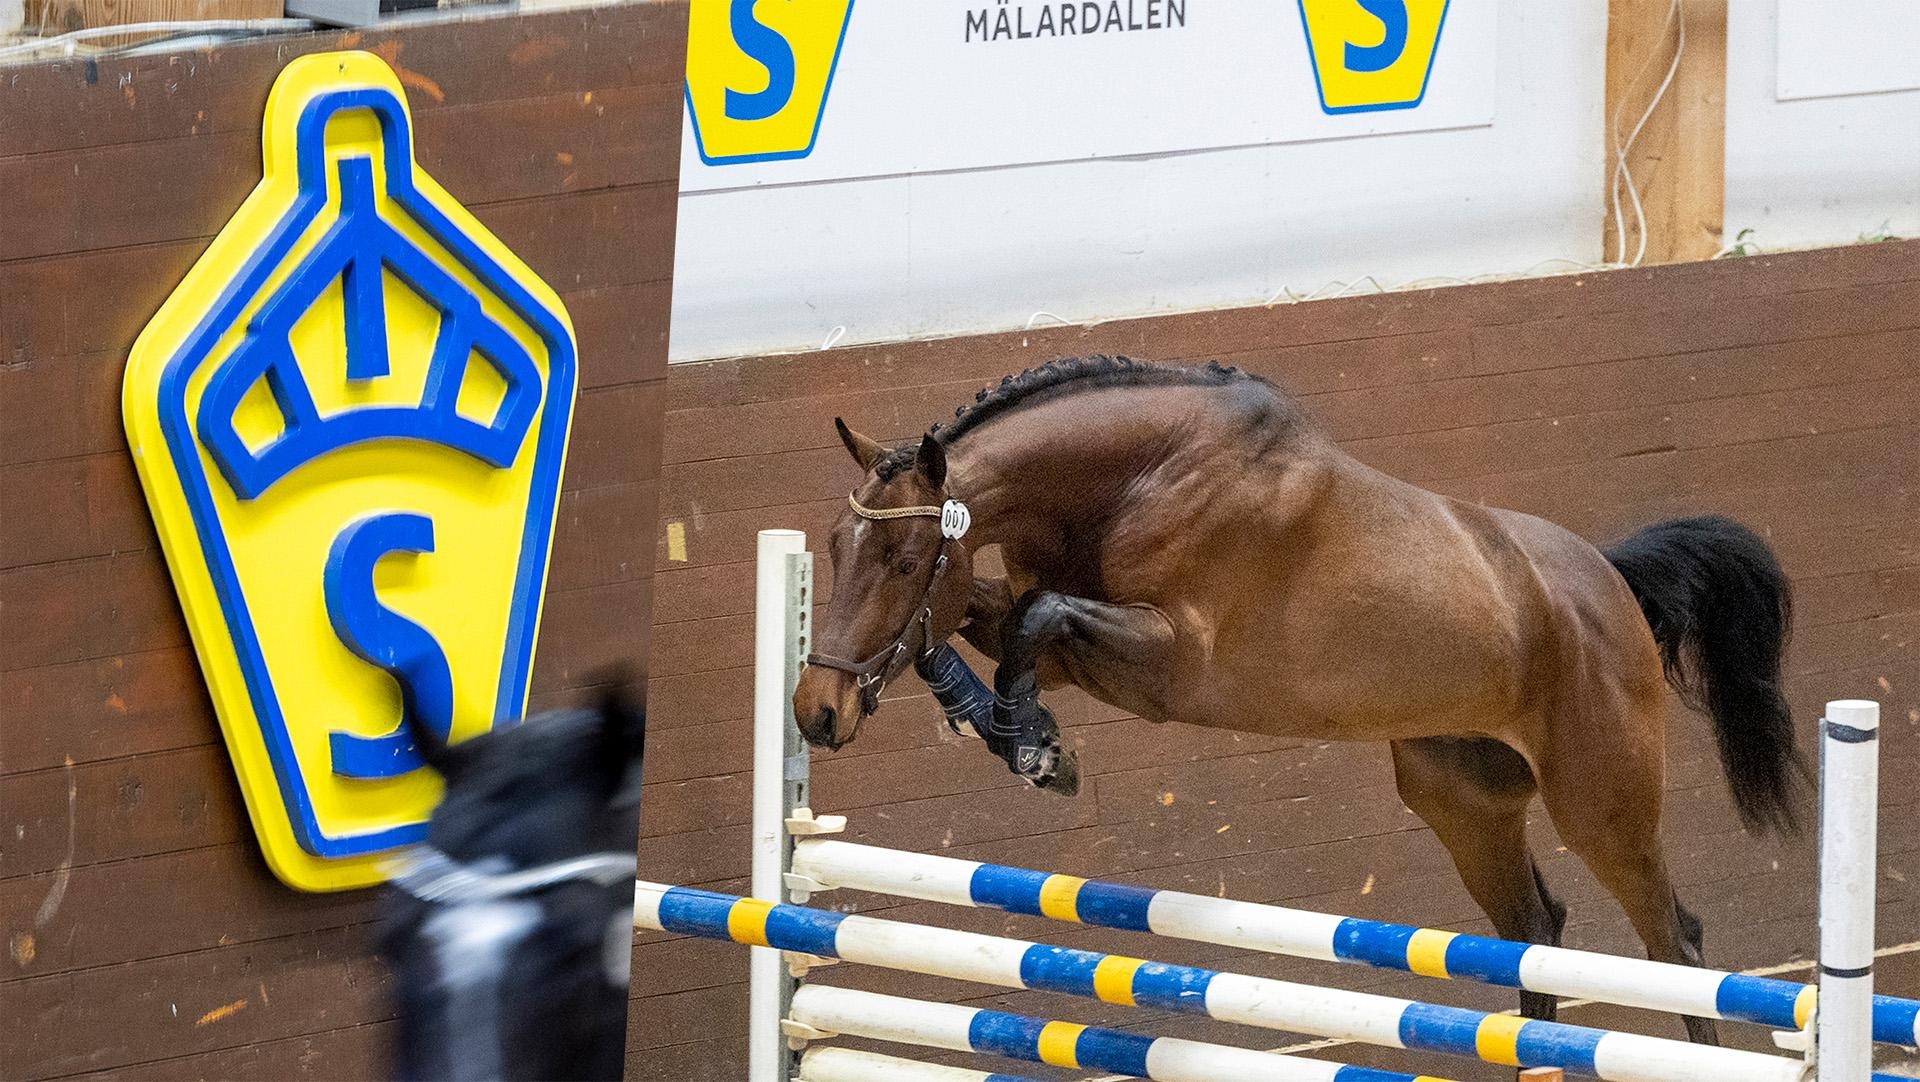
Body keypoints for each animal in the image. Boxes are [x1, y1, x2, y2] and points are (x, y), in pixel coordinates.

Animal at [791, 356, 1797, 1051]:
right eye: (834, 547)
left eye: (903, 560)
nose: (815, 713)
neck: (1140, 475)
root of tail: (1610, 585)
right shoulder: (1063, 635)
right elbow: (976, 628)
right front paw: (1017, 732)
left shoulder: (1170, 662)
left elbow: (1033, 619)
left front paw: (1034, 746)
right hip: (1463, 802)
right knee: (1535, 936)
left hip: (1602, 806)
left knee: (1675, 947)